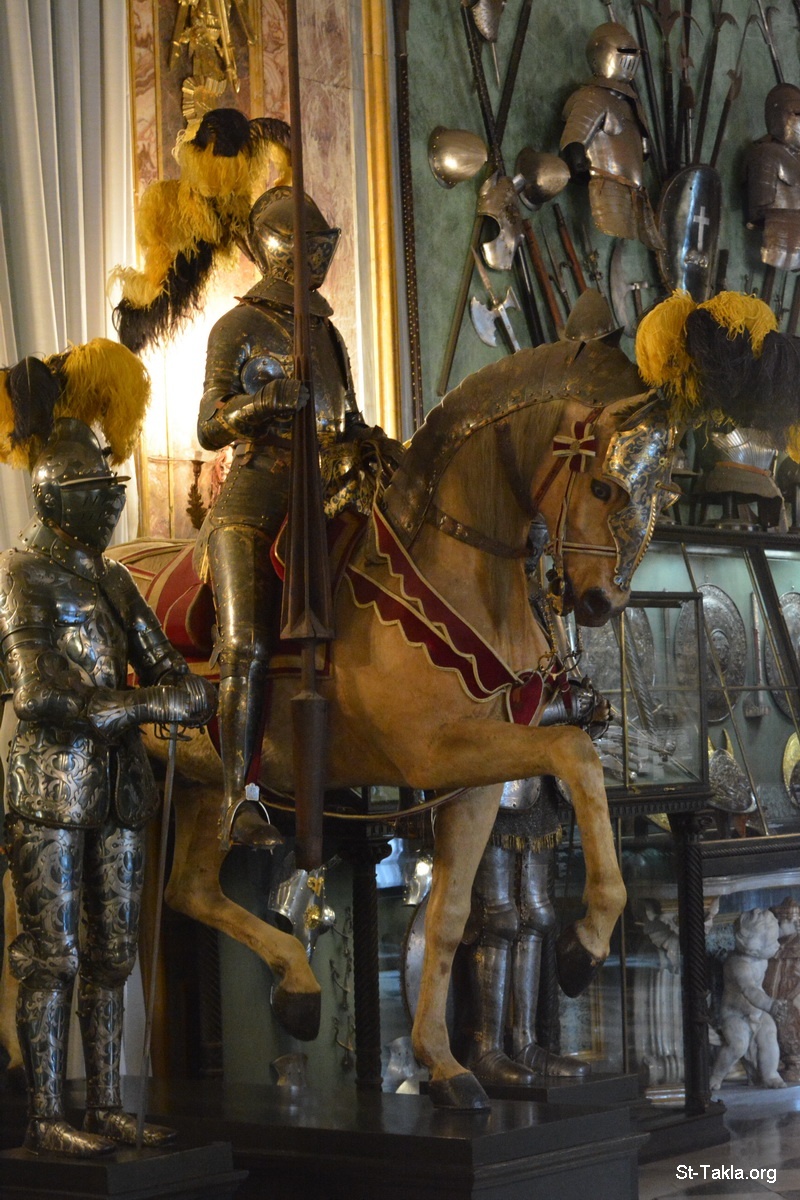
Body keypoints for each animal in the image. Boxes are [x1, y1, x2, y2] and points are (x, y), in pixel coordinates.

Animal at [0, 335, 674, 1110]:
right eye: (606, 488)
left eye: (660, 495)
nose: (600, 602)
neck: (451, 562)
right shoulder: (434, 754)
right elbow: (576, 755)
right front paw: (582, 948)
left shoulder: (476, 781)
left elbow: (448, 919)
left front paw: (446, 1067)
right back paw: (26, 1073)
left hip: (196, 783)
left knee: (188, 889)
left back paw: (297, 988)